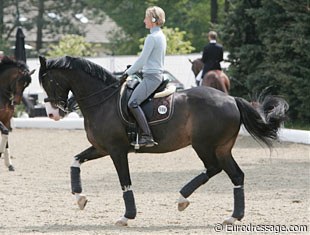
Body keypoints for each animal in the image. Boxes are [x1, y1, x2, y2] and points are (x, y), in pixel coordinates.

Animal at [38, 56, 288, 227]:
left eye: (49, 81)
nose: (52, 114)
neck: (102, 100)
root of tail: (231, 99)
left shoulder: (117, 151)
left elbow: (125, 182)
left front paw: (127, 216)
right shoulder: (101, 148)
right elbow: (75, 161)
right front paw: (80, 198)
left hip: (204, 145)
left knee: (213, 168)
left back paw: (182, 198)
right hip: (222, 148)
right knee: (236, 175)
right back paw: (233, 216)